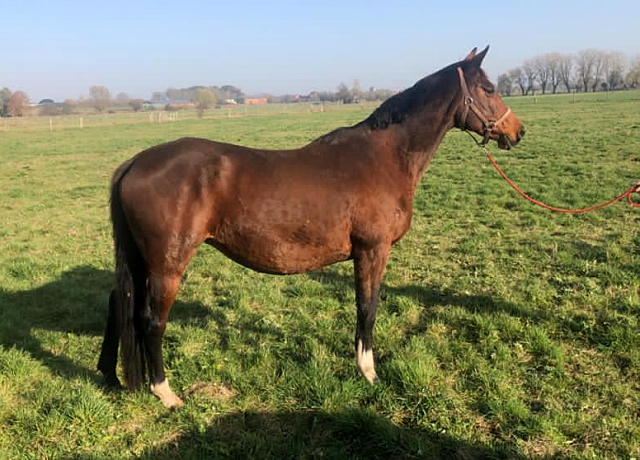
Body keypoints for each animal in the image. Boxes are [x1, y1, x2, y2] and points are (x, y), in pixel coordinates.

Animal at [96, 46, 524, 406]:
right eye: (488, 88)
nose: (517, 131)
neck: (385, 157)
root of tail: (135, 164)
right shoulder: (373, 250)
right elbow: (367, 307)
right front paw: (368, 372)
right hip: (166, 265)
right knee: (151, 320)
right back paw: (164, 392)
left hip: (139, 260)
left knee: (119, 303)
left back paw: (110, 376)